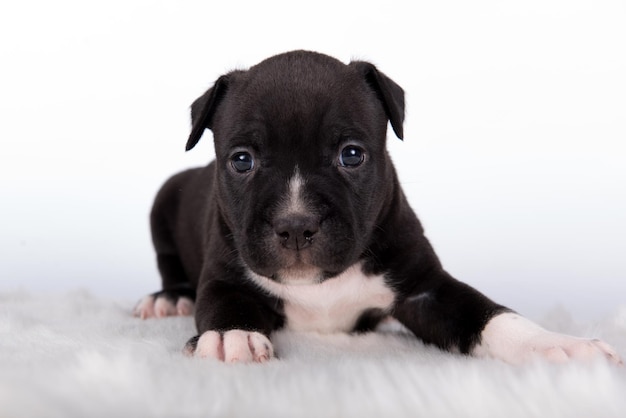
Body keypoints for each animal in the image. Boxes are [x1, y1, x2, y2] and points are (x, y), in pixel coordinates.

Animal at [135, 49, 620, 366]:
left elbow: (489, 315)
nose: (296, 225)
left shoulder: (427, 288)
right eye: (241, 161)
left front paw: (557, 344)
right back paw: (169, 299)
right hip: (163, 203)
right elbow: (223, 304)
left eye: (351, 155)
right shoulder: (225, 277)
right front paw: (230, 337)